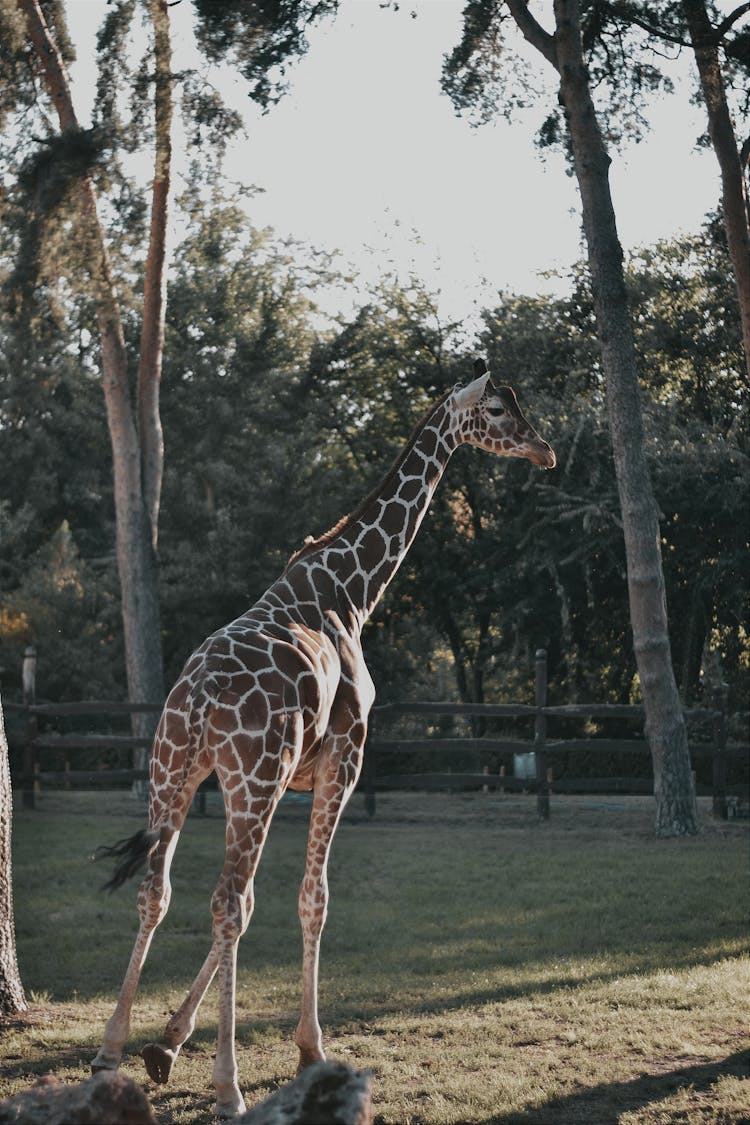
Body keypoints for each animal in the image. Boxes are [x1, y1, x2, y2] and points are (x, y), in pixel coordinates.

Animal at [91, 355, 555, 1111]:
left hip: (175, 771)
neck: (350, 590)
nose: (544, 449)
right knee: (225, 902)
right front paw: (310, 1046)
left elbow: (261, 901)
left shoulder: (289, 777)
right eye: (496, 410)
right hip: (247, 780)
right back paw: (228, 1085)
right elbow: (313, 899)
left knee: (158, 892)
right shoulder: (345, 756)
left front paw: (165, 1043)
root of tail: (201, 696)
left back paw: (110, 1053)